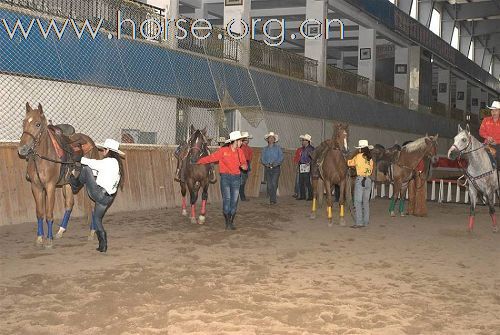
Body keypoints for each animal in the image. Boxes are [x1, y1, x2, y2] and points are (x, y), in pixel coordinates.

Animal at [18, 103, 98, 248]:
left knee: (93, 206)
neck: (42, 158)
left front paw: (49, 240)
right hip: (68, 184)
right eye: (23, 122)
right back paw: (60, 232)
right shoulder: (36, 187)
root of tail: (91, 143)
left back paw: (92, 232)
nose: (22, 149)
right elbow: (39, 213)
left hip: (89, 182)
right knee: (69, 204)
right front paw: (39, 238)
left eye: (38, 124)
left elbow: (49, 213)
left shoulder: (50, 186)